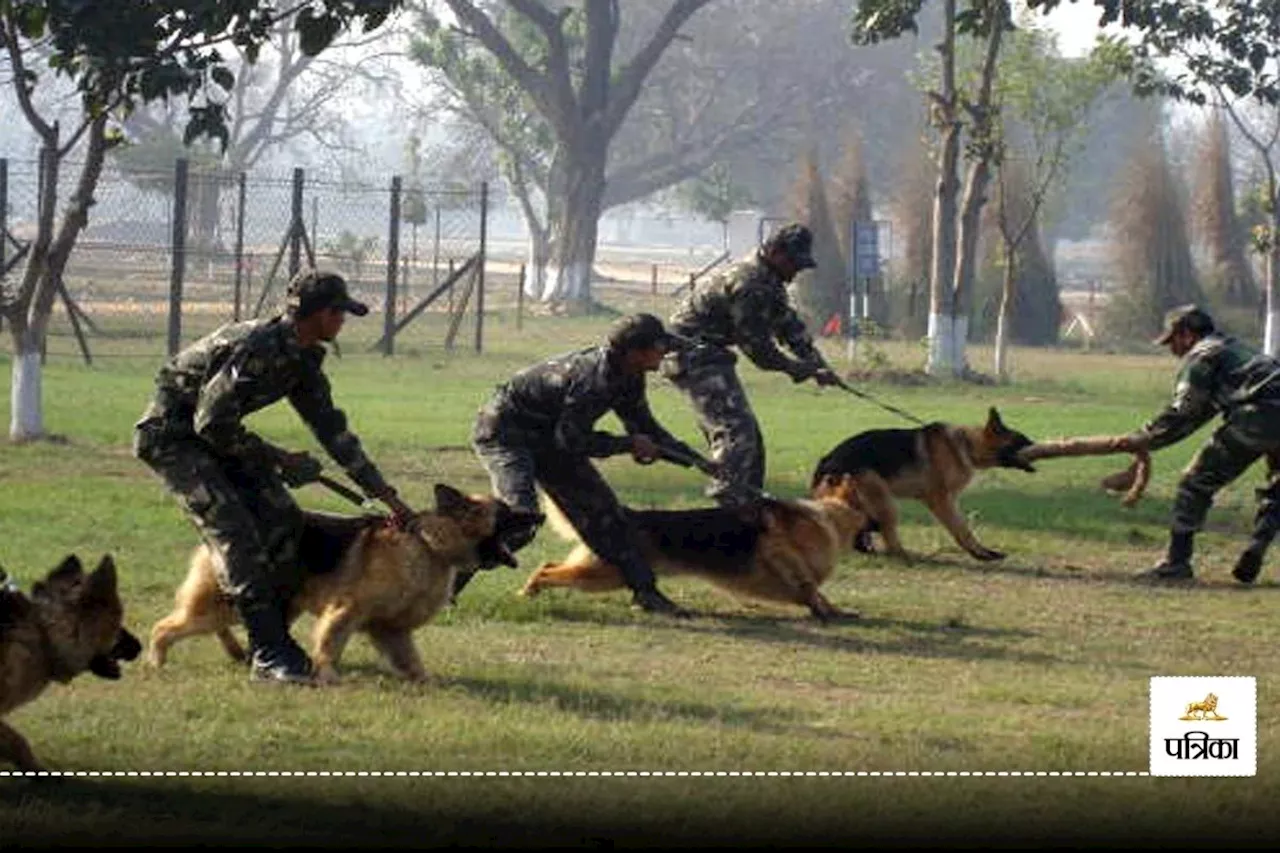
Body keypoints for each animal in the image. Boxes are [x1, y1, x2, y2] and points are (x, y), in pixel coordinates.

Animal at [148, 481, 540, 681]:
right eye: (506, 512)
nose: (538, 515)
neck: (430, 544)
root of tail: (215, 538)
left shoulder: (391, 630)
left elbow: (412, 662)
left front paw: (425, 683)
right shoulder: (345, 613)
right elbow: (330, 647)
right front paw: (327, 677)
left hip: (271, 606)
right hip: (223, 607)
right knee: (163, 627)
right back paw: (156, 662)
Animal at [519, 471, 870, 617]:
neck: (832, 515)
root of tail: (627, 515)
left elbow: (818, 594)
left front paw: (835, 610)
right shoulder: (792, 566)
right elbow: (813, 591)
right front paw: (829, 613)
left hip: (600, 573)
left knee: (549, 564)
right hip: (603, 577)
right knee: (546, 571)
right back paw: (527, 591)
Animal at [808, 409, 1039, 560]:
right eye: (1023, 440)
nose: (1040, 446)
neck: (965, 445)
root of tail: (826, 461)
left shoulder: (949, 500)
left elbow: (964, 527)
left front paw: (984, 551)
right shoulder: (941, 500)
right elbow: (961, 528)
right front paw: (979, 554)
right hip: (884, 500)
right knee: (888, 535)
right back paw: (903, 554)